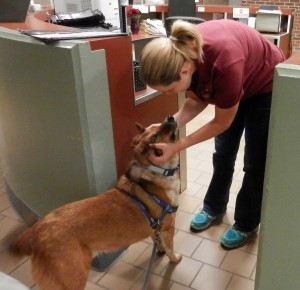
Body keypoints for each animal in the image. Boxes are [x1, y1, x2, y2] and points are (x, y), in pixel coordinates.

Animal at [9, 115, 182, 290]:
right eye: (155, 137)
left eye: (156, 126)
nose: (170, 117)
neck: (155, 171)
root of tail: (36, 232)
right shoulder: (168, 227)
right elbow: (170, 248)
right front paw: (174, 259)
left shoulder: (156, 228)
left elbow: (158, 241)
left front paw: (160, 250)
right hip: (74, 278)